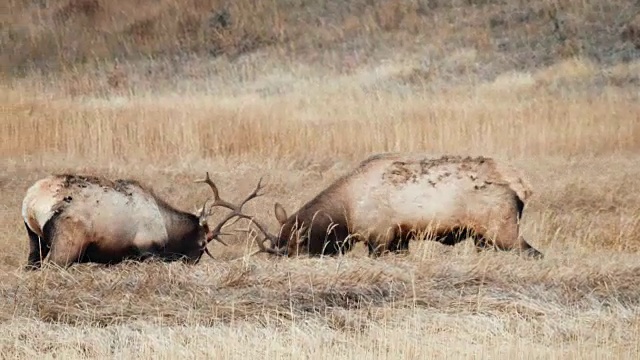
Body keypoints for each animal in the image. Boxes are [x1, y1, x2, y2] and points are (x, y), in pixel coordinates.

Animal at [21, 172, 262, 270]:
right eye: (202, 244)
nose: (192, 263)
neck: (167, 226)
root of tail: (30, 202)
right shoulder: (148, 251)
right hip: (68, 242)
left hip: (34, 240)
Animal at [232, 152, 544, 258]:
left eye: (290, 252)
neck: (346, 212)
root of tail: (522, 185)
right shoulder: (400, 238)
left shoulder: (380, 237)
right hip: (483, 238)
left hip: (502, 229)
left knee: (534, 253)